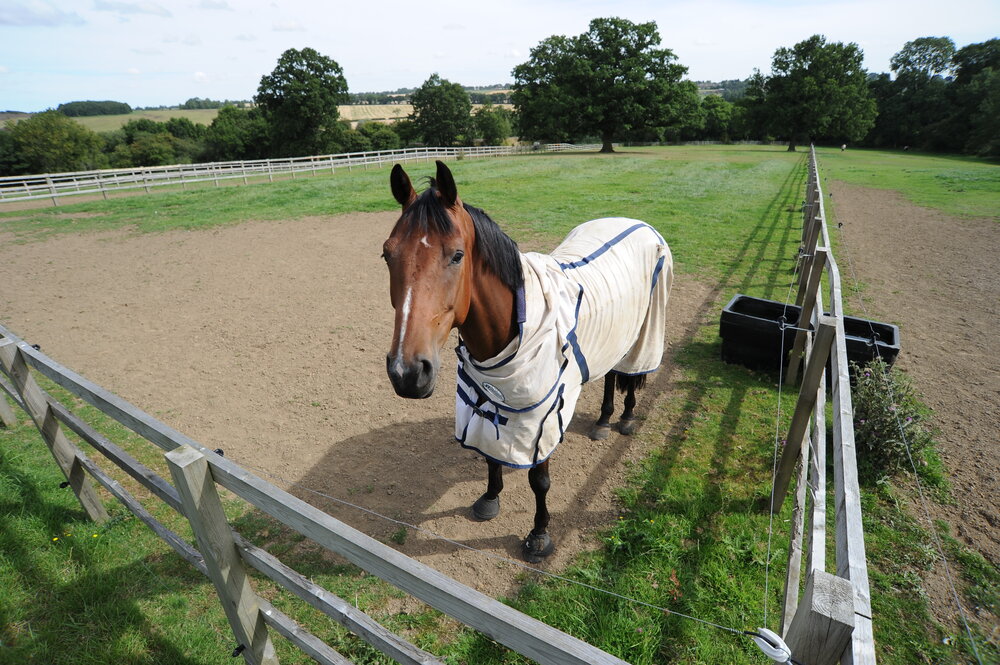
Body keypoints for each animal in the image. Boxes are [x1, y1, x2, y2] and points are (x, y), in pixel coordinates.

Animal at [383, 160, 672, 562]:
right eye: (387, 254)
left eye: (457, 255)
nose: (406, 372)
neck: (516, 326)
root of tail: (638, 223)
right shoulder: (484, 400)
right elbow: (490, 454)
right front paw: (490, 498)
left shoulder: (542, 416)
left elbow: (539, 479)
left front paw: (539, 535)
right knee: (610, 375)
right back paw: (602, 420)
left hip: (643, 329)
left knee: (626, 372)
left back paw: (625, 417)